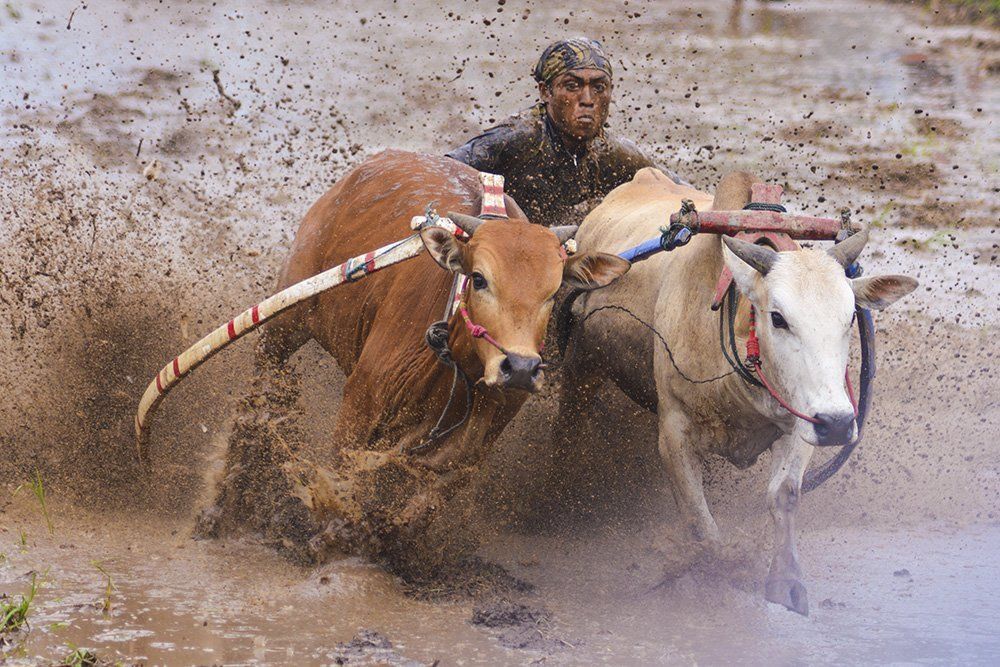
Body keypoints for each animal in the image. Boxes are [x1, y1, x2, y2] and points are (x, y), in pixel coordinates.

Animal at [202, 150, 630, 581]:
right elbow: (343, 479)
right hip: (285, 322)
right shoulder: (361, 400)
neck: (457, 363)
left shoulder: (482, 437)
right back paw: (223, 501)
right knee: (257, 396)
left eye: (553, 291)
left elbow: (428, 494)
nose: (521, 367)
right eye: (479, 279)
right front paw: (331, 538)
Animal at [554, 168, 917, 614]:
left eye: (851, 316)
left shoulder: (801, 421)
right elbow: (699, 520)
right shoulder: (674, 434)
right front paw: (713, 577)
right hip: (582, 363)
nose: (837, 424)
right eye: (777, 317)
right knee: (568, 425)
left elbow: (784, 495)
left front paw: (786, 583)